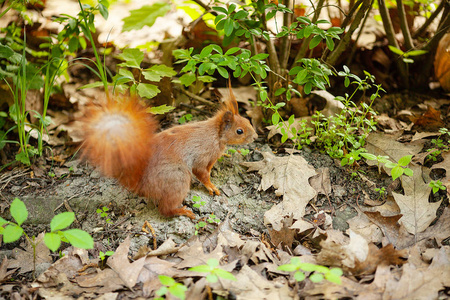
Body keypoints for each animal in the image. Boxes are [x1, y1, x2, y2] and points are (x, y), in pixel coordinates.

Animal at [81, 88, 256, 219]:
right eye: (239, 131)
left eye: (248, 121)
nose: (255, 137)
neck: (216, 135)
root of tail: (141, 185)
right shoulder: (202, 154)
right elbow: (201, 172)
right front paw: (211, 186)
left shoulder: (212, 158)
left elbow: (208, 169)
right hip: (177, 179)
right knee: (165, 209)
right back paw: (183, 211)